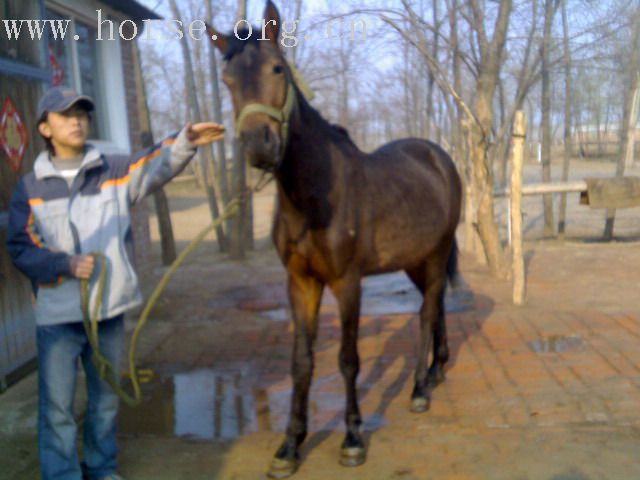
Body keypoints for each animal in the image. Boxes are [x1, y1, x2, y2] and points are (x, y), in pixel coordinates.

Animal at [208, 2, 462, 476]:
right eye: (227, 80)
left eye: (277, 68)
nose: (259, 146)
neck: (313, 196)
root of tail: (438, 157)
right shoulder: (301, 283)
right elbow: (302, 363)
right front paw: (289, 446)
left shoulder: (347, 283)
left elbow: (347, 360)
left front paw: (353, 439)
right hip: (415, 260)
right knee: (434, 305)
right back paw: (436, 370)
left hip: (436, 255)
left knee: (425, 312)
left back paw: (419, 388)